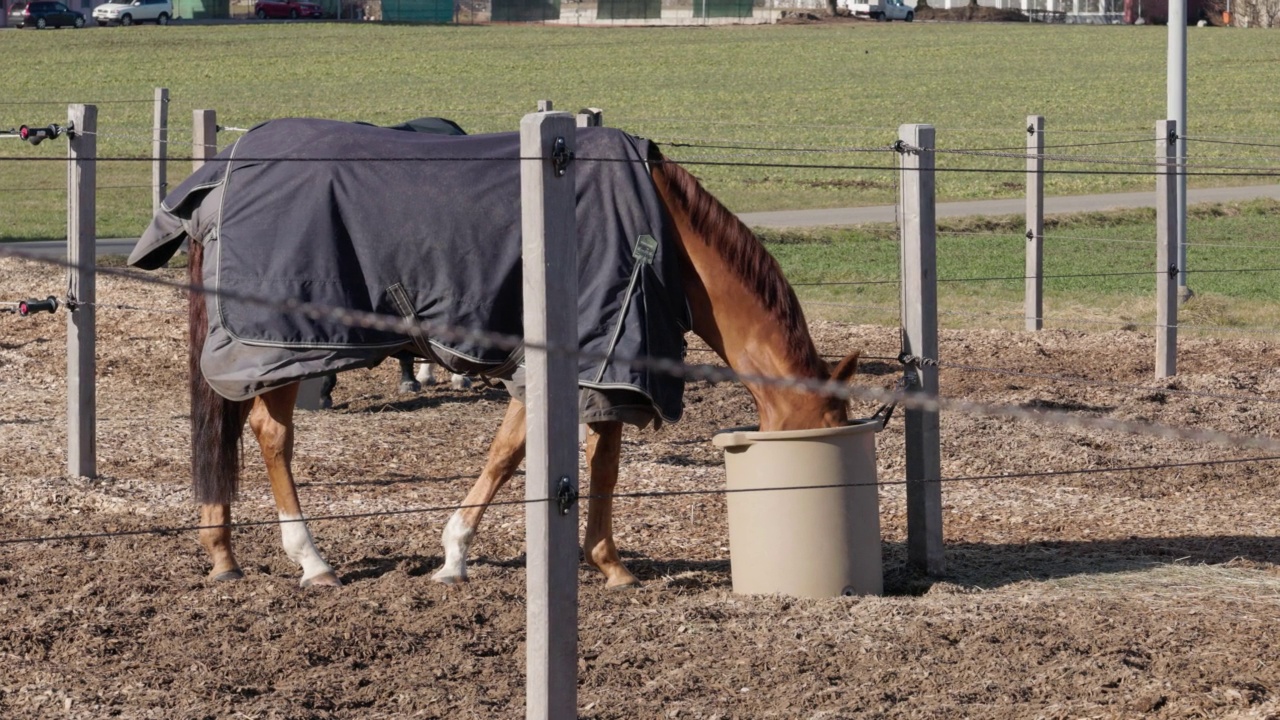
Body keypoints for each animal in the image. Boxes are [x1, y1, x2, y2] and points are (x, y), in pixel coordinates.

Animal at [183, 142, 860, 586]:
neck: (662, 233)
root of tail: (217, 186)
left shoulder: (593, 376)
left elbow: (585, 463)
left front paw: (602, 561)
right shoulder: (567, 370)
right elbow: (519, 458)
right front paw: (459, 556)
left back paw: (223, 554)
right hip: (281, 349)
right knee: (272, 435)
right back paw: (311, 560)